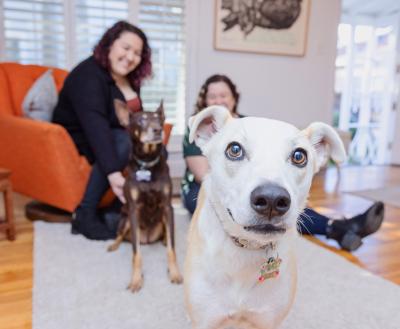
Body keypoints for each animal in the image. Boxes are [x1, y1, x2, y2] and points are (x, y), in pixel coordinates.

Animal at [106, 98, 181, 290]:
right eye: (141, 120)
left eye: (159, 120)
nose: (158, 130)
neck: (147, 163)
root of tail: (147, 239)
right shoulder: (133, 210)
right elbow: (136, 252)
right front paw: (136, 280)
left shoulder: (168, 207)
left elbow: (172, 248)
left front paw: (175, 273)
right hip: (125, 221)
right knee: (121, 236)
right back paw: (113, 245)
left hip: (163, 219)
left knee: (167, 233)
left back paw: (164, 239)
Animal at [183, 105, 346, 328]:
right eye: (235, 150)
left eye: (299, 156)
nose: (272, 200)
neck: (246, 247)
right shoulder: (206, 320)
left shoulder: (268, 321)